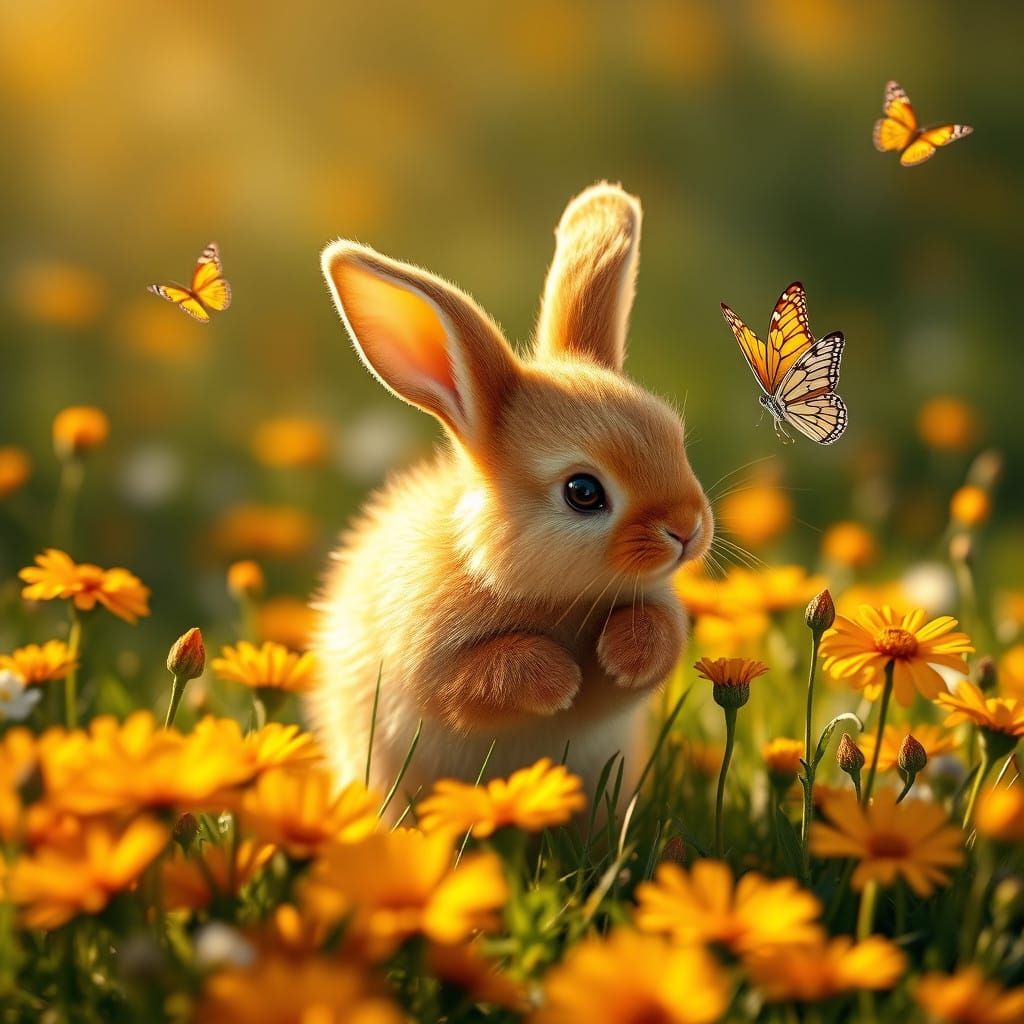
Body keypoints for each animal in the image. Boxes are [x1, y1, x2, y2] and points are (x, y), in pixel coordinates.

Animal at [308, 182, 713, 813]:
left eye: (675, 437)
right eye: (582, 492)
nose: (687, 529)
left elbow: (658, 647)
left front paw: (622, 654)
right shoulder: (428, 665)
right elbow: (477, 682)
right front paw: (561, 679)